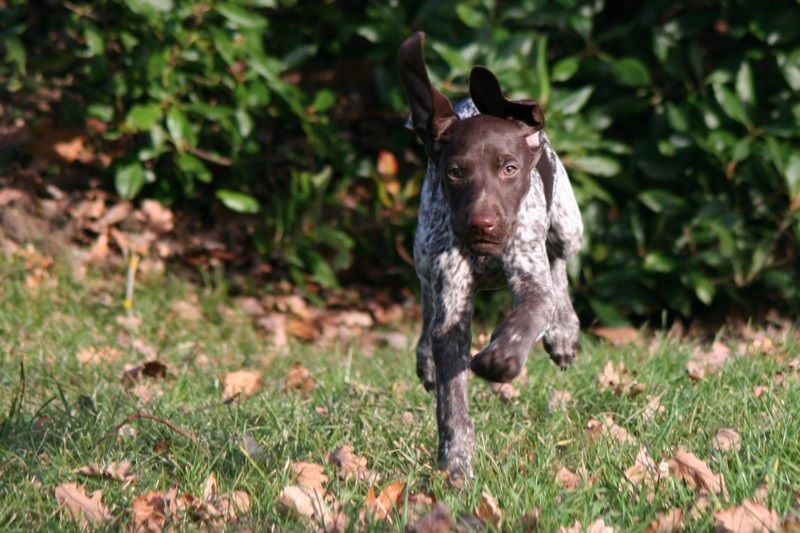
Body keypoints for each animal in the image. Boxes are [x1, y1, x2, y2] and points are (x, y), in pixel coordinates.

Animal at [398, 31, 580, 476]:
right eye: (455, 172)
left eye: (509, 169)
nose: (482, 224)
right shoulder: (450, 299)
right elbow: (452, 399)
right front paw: (456, 458)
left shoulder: (531, 274)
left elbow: (532, 309)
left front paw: (502, 358)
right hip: (422, 253)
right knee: (427, 305)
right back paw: (426, 360)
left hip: (567, 224)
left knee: (559, 267)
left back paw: (564, 333)